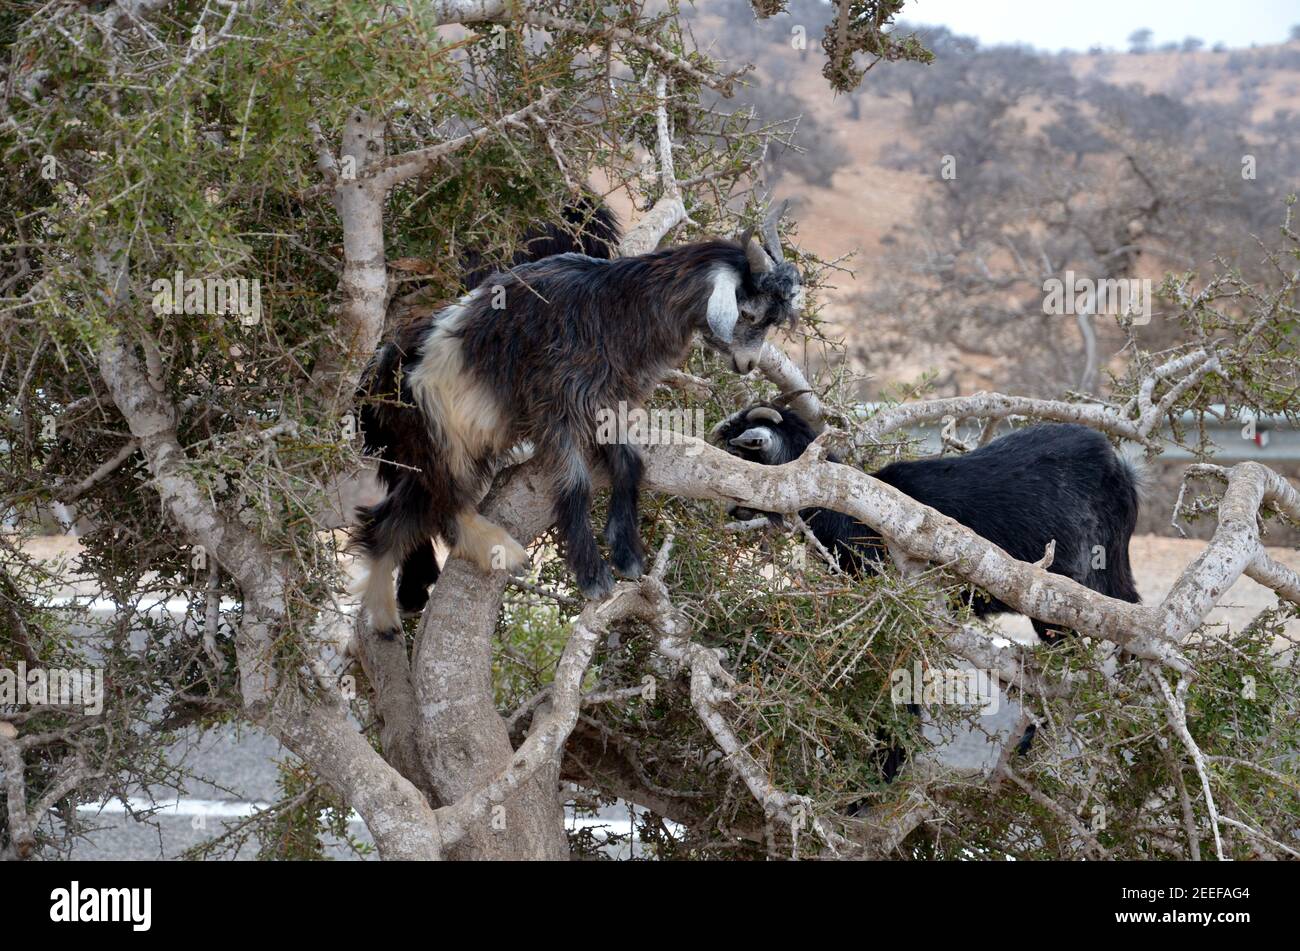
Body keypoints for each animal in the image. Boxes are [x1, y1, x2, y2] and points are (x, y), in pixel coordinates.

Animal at [358, 211, 800, 634]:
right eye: (749, 312)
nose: (747, 364)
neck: (615, 308)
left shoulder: (610, 401)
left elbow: (629, 463)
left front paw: (627, 551)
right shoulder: (556, 405)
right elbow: (576, 485)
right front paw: (592, 574)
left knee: (393, 519)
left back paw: (387, 615)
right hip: (442, 440)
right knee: (437, 506)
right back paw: (488, 554)